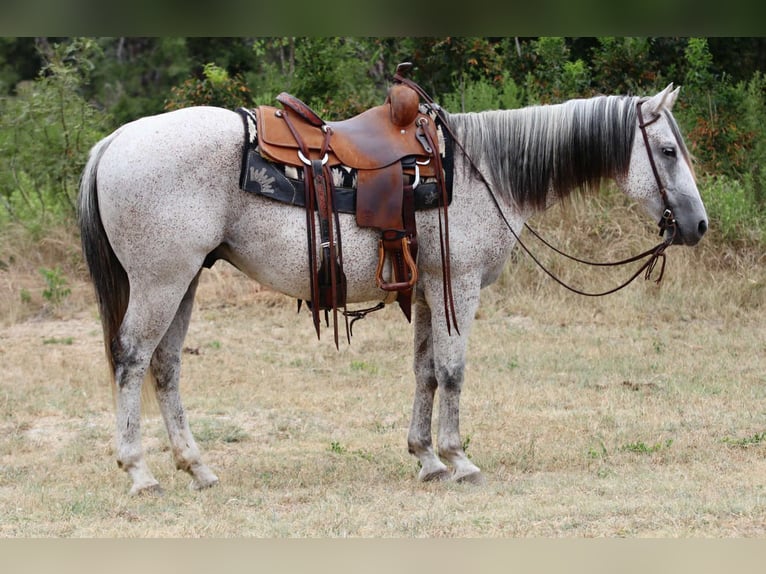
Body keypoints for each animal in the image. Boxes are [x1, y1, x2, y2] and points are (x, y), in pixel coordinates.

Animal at [78, 83, 708, 494]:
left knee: (165, 367)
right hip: (160, 282)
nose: (698, 225)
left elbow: (425, 371)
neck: (481, 171)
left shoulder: (428, 289)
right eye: (668, 151)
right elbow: (453, 371)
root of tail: (112, 143)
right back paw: (139, 472)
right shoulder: (459, 285)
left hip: (183, 282)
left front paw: (426, 459)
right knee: (132, 360)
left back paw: (197, 467)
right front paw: (459, 459)